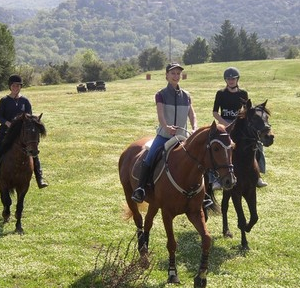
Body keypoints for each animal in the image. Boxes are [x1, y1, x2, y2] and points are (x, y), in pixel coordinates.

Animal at [119, 120, 237, 286]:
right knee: (139, 220)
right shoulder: (167, 213)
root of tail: (130, 148)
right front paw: (172, 273)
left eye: (232, 147)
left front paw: (201, 276)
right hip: (129, 194)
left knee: (148, 222)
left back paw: (145, 252)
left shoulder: (195, 212)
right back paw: (143, 255)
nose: (230, 180)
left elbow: (207, 239)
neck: (186, 172)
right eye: (216, 148)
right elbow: (172, 243)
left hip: (154, 203)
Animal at [206, 99, 274, 250]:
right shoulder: (236, 192)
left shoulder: (250, 190)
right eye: (254, 119)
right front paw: (244, 242)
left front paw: (247, 229)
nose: (269, 137)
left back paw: (226, 231)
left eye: (267, 118)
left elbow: (254, 217)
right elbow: (242, 218)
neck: (242, 160)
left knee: (224, 207)